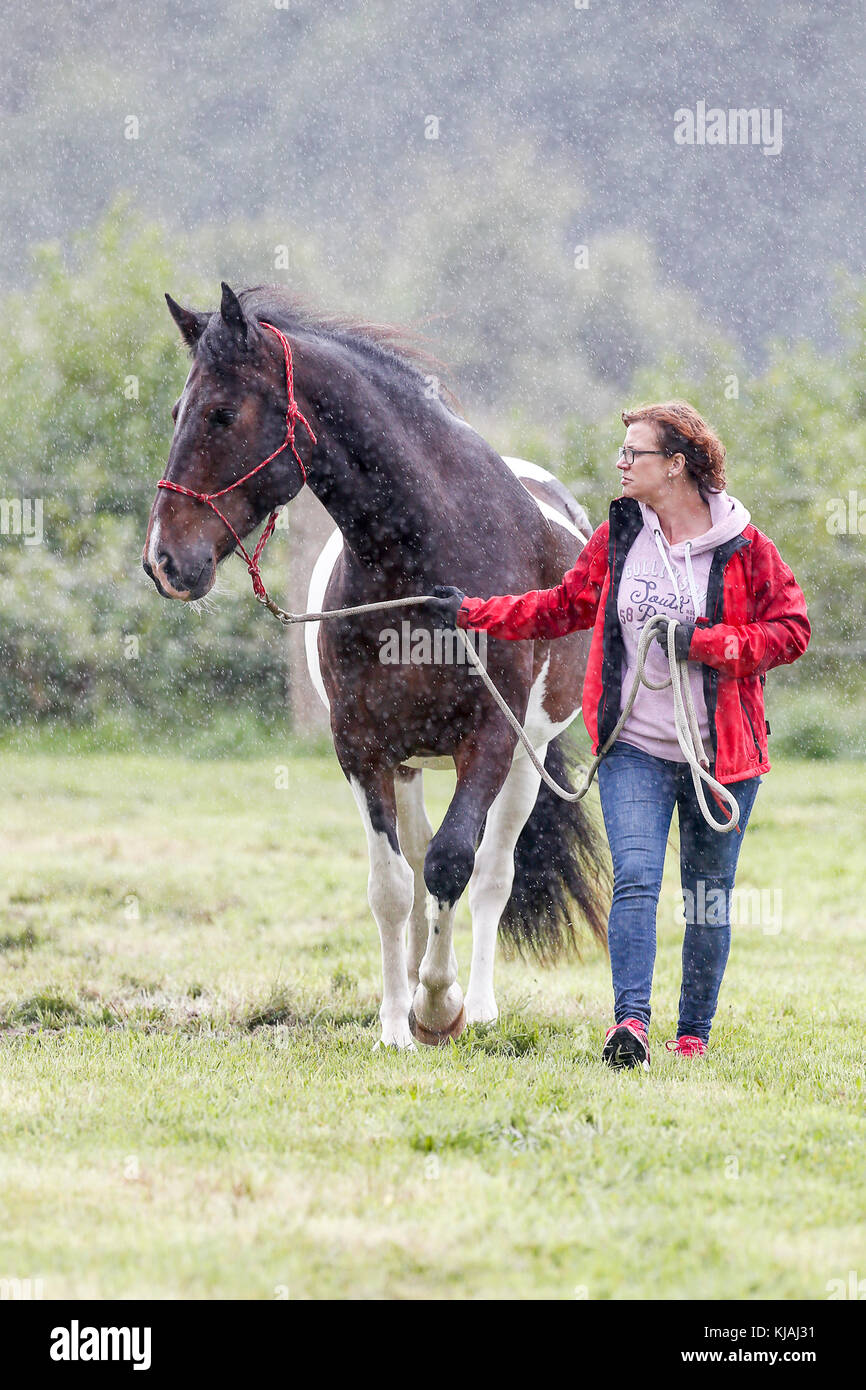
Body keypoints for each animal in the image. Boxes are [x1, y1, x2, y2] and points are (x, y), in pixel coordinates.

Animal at [143, 283, 609, 1048]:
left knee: (492, 871)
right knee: (418, 867)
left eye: (221, 413)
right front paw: (397, 1021)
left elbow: (457, 862)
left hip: (527, 754)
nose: (164, 561)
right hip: (412, 763)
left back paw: (479, 1004)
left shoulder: (490, 739)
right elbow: (393, 886)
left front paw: (440, 1008)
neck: (428, 549)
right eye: (178, 413)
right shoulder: (362, 749)